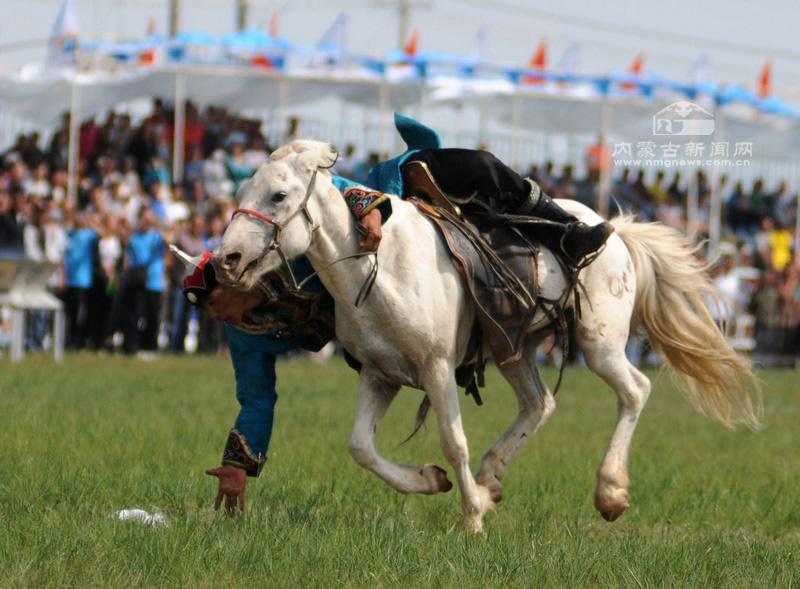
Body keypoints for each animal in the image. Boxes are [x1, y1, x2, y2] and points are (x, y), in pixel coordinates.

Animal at [214, 140, 764, 532]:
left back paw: (609, 493)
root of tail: (617, 230)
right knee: (540, 403)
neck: (377, 261)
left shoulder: (437, 367)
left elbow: (452, 440)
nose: (227, 259)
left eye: (279, 196)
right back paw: (491, 478)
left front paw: (472, 517)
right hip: (512, 347)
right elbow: (361, 448)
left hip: (600, 342)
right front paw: (437, 483)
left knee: (635, 390)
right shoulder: (380, 374)